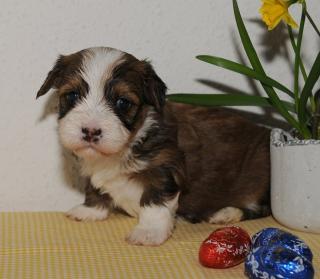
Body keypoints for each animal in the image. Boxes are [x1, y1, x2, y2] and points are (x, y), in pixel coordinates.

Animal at [35, 47, 270, 246]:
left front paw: (149, 232)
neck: (123, 149)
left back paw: (225, 212)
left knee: (262, 207)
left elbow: (155, 203)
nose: (91, 131)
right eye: (72, 95)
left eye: (123, 102)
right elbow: (93, 187)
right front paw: (90, 210)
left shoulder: (164, 168)